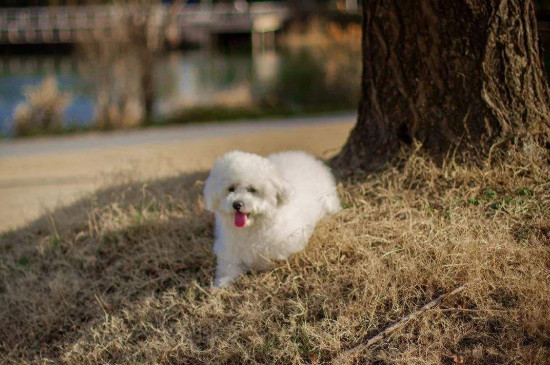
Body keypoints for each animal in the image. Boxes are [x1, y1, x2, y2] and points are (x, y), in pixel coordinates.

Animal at [203, 149, 340, 286]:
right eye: (231, 189)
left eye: (251, 189)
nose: (237, 204)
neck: (251, 228)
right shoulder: (230, 251)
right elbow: (228, 269)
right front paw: (220, 285)